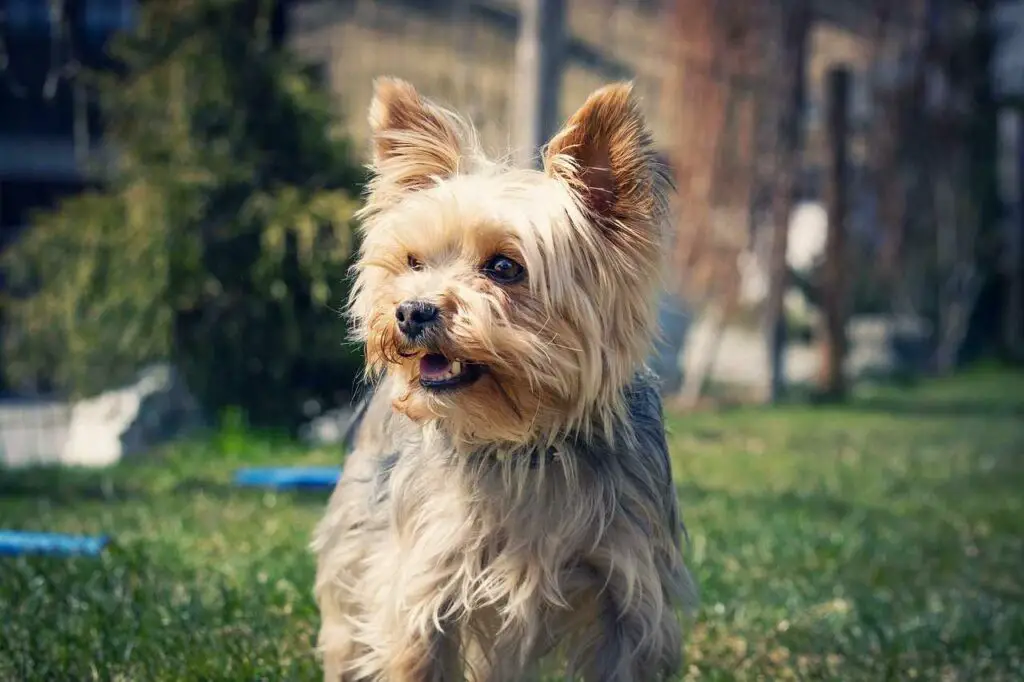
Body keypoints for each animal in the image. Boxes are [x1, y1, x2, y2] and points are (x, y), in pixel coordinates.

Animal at [313, 76, 696, 675]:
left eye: (503, 267)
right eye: (413, 262)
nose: (411, 311)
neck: (526, 445)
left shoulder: (629, 597)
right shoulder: (421, 588)